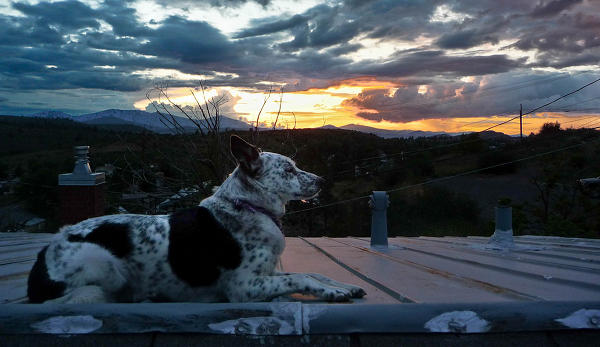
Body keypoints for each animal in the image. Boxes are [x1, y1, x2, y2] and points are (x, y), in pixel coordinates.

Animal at [28, 136, 366, 304]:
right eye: (289, 170)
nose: (322, 181)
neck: (249, 207)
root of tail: (44, 253)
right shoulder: (244, 286)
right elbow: (303, 278)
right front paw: (334, 292)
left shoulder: (268, 273)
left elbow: (313, 272)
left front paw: (345, 286)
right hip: (103, 264)